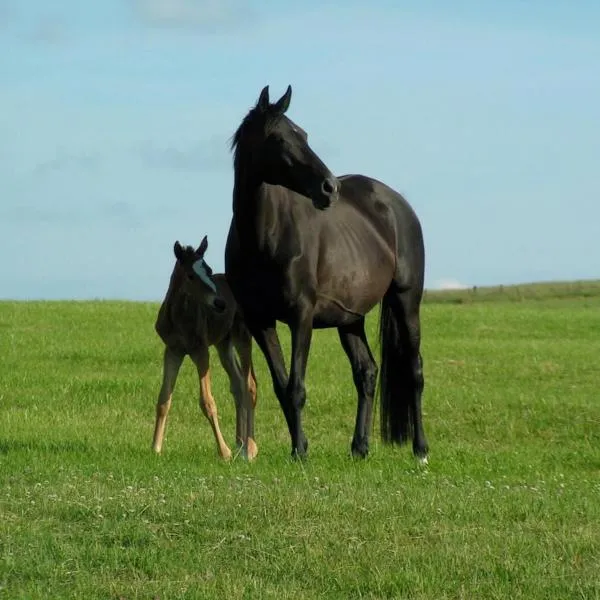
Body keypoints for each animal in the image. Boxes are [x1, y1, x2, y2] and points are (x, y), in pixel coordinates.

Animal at [151, 234, 256, 460]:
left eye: (209, 270)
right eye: (191, 275)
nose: (221, 304)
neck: (178, 317)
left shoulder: (201, 351)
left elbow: (207, 401)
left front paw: (224, 452)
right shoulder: (173, 350)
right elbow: (164, 399)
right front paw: (155, 447)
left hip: (242, 335)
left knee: (250, 384)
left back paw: (250, 449)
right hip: (223, 343)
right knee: (237, 383)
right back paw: (240, 443)